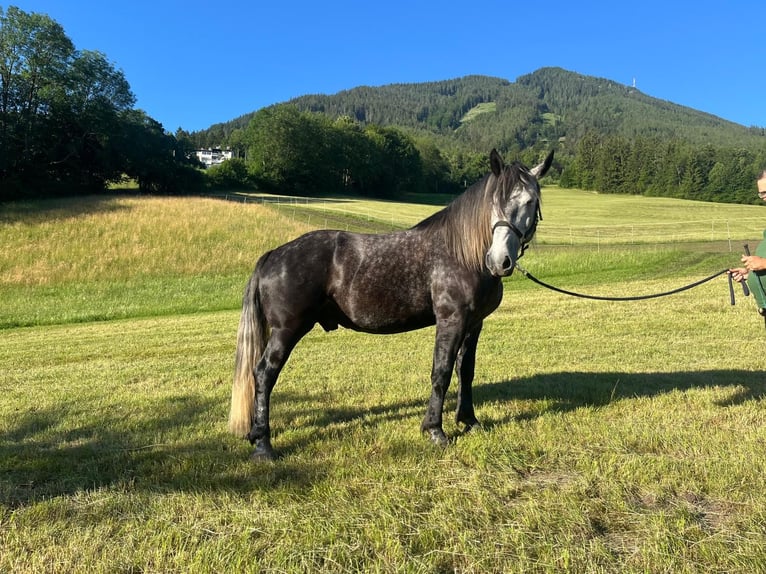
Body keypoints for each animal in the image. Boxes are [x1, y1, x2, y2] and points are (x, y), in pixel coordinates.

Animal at [229, 149, 553, 460]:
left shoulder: (474, 324)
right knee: (264, 374)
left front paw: (469, 421)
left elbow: (466, 371)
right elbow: (442, 372)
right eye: (495, 201)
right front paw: (435, 431)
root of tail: (273, 255)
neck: (462, 254)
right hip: (286, 331)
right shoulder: (451, 320)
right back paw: (263, 446)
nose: (500, 261)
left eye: (530, 201)